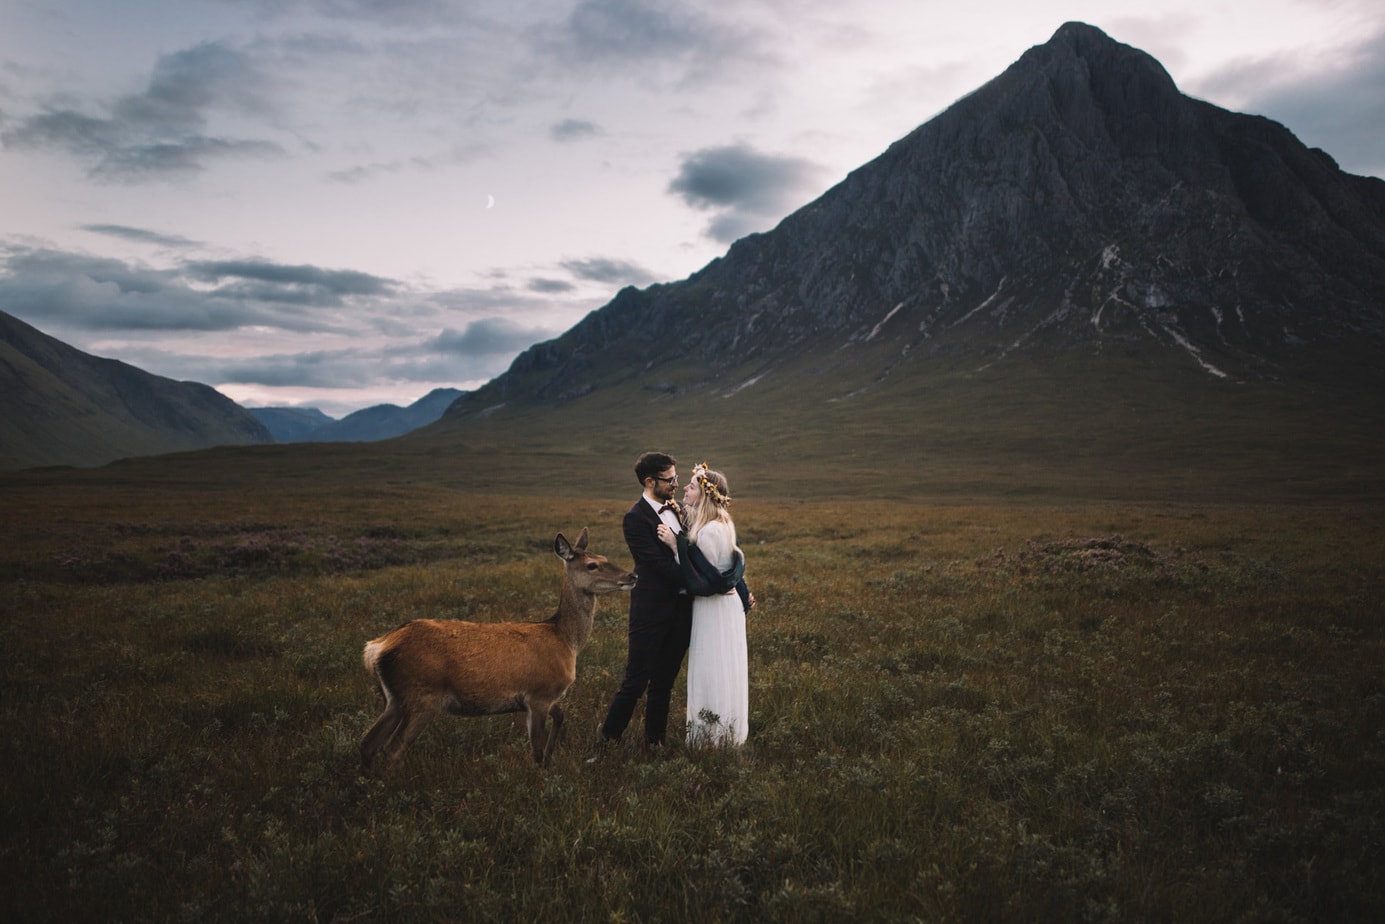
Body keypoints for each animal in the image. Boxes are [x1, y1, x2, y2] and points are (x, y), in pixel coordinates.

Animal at [360, 526, 634, 775]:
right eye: (592, 565)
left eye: (604, 557)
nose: (632, 576)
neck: (565, 638)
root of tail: (376, 647)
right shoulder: (539, 693)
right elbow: (535, 749)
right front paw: (542, 773)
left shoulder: (543, 698)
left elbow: (561, 717)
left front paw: (550, 759)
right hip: (422, 695)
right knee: (393, 748)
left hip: (394, 698)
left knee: (368, 742)